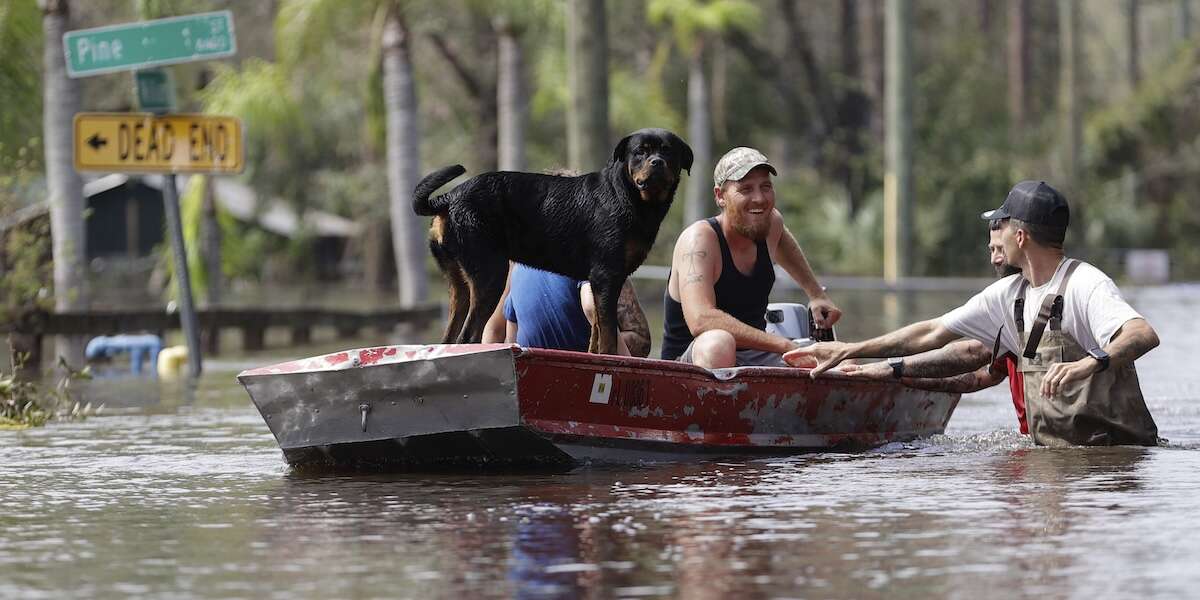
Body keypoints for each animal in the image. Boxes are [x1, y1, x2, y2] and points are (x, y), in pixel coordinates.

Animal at [415, 129, 691, 352]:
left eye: (668, 151)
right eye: (640, 152)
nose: (657, 162)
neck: (630, 196)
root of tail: (449, 197)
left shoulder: (599, 282)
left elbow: (596, 332)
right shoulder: (607, 276)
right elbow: (609, 336)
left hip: (459, 283)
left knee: (450, 336)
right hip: (490, 273)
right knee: (468, 337)